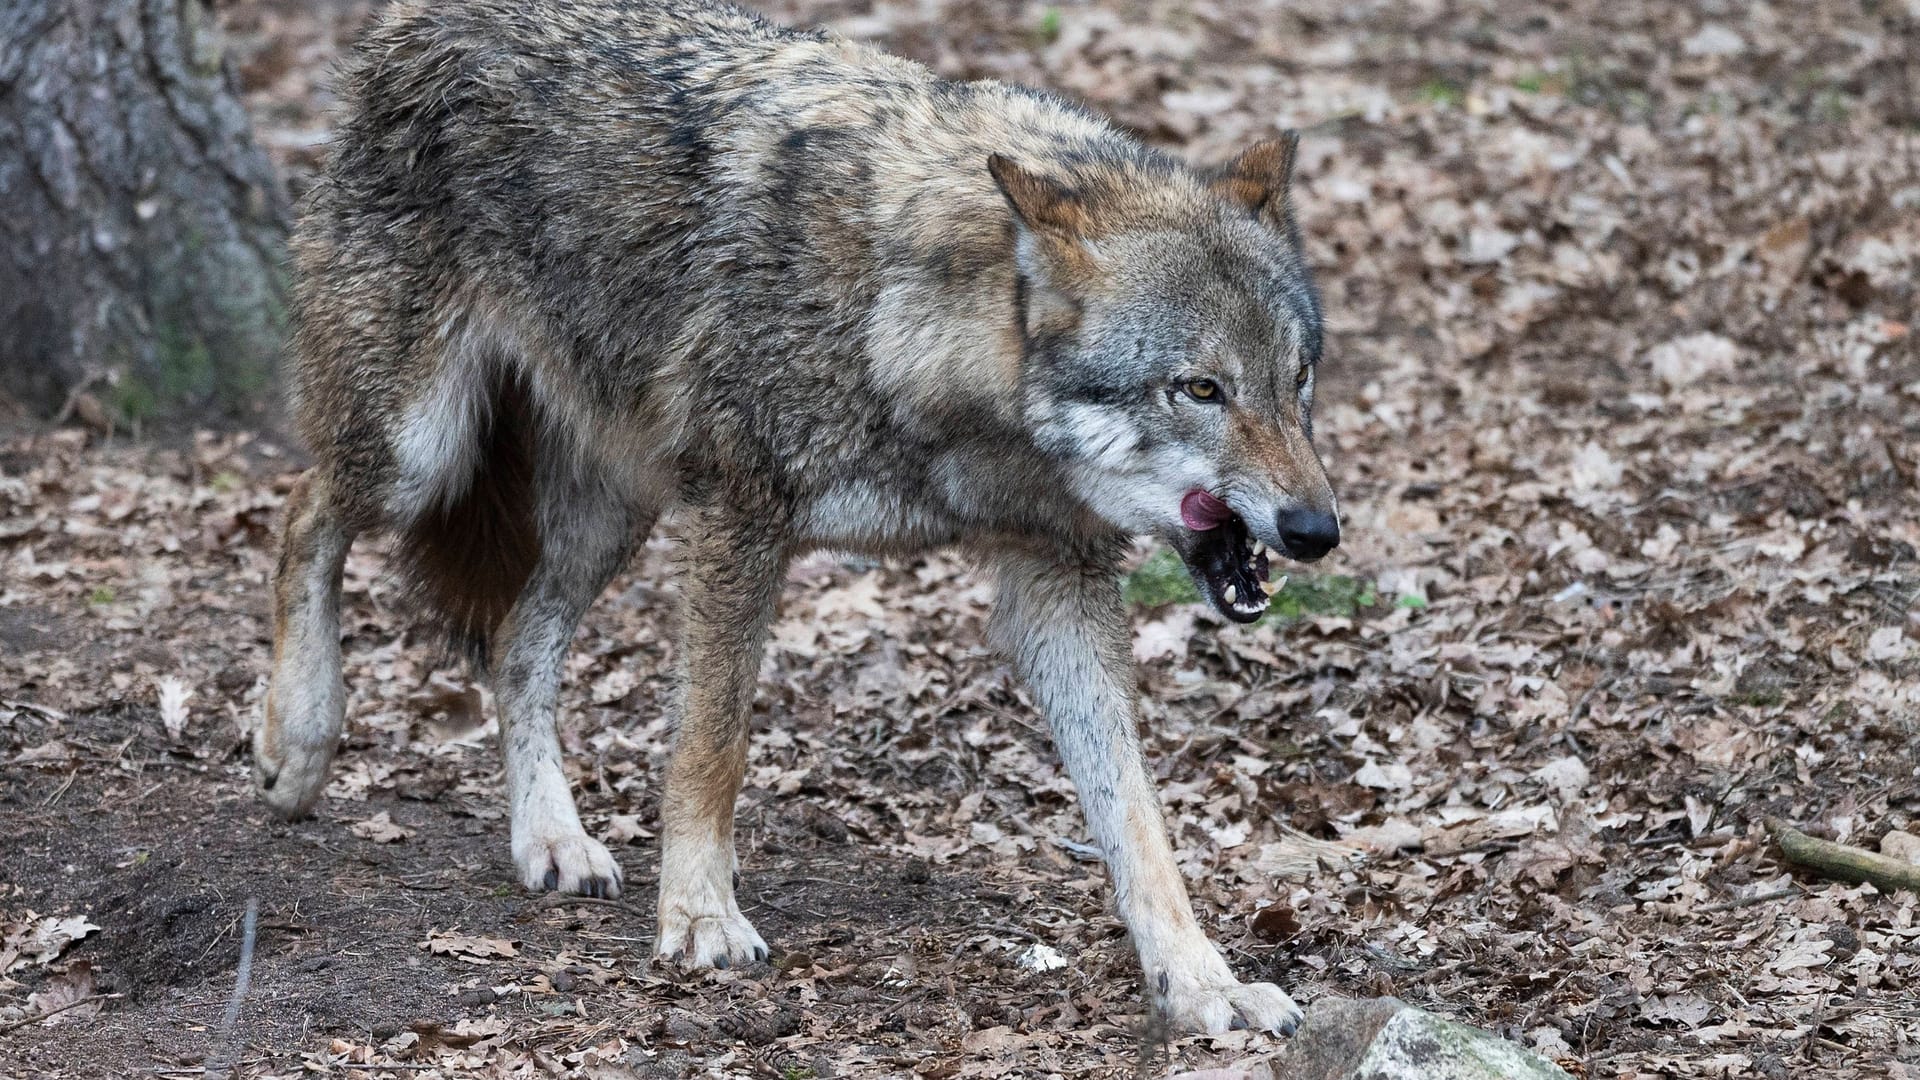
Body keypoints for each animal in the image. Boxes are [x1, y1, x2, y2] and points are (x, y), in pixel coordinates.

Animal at [251, 0, 1336, 1037]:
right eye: (1200, 388)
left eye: (1297, 381)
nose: (1317, 531)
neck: (905, 327)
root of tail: (407, 24)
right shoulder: (741, 519)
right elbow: (711, 747)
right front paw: (699, 917)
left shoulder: (1055, 578)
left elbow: (1139, 820)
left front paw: (1204, 984)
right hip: (420, 452)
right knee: (303, 513)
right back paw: (297, 740)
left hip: (614, 509)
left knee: (516, 639)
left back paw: (551, 840)